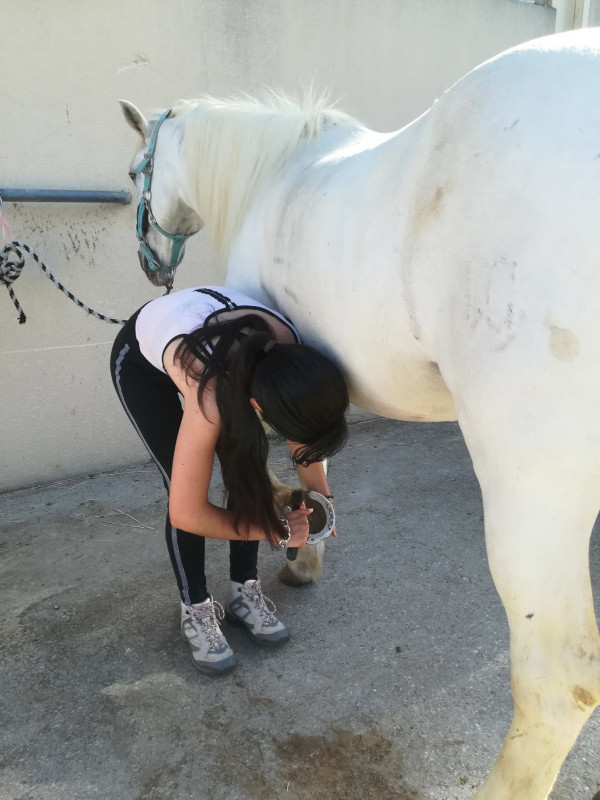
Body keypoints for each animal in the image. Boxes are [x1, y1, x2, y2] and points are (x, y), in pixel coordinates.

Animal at [120, 28, 600, 799]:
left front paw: (299, 552)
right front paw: (306, 538)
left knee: (556, 684)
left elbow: (281, 463)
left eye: (139, 170)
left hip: (534, 490)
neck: (276, 172)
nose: (150, 265)